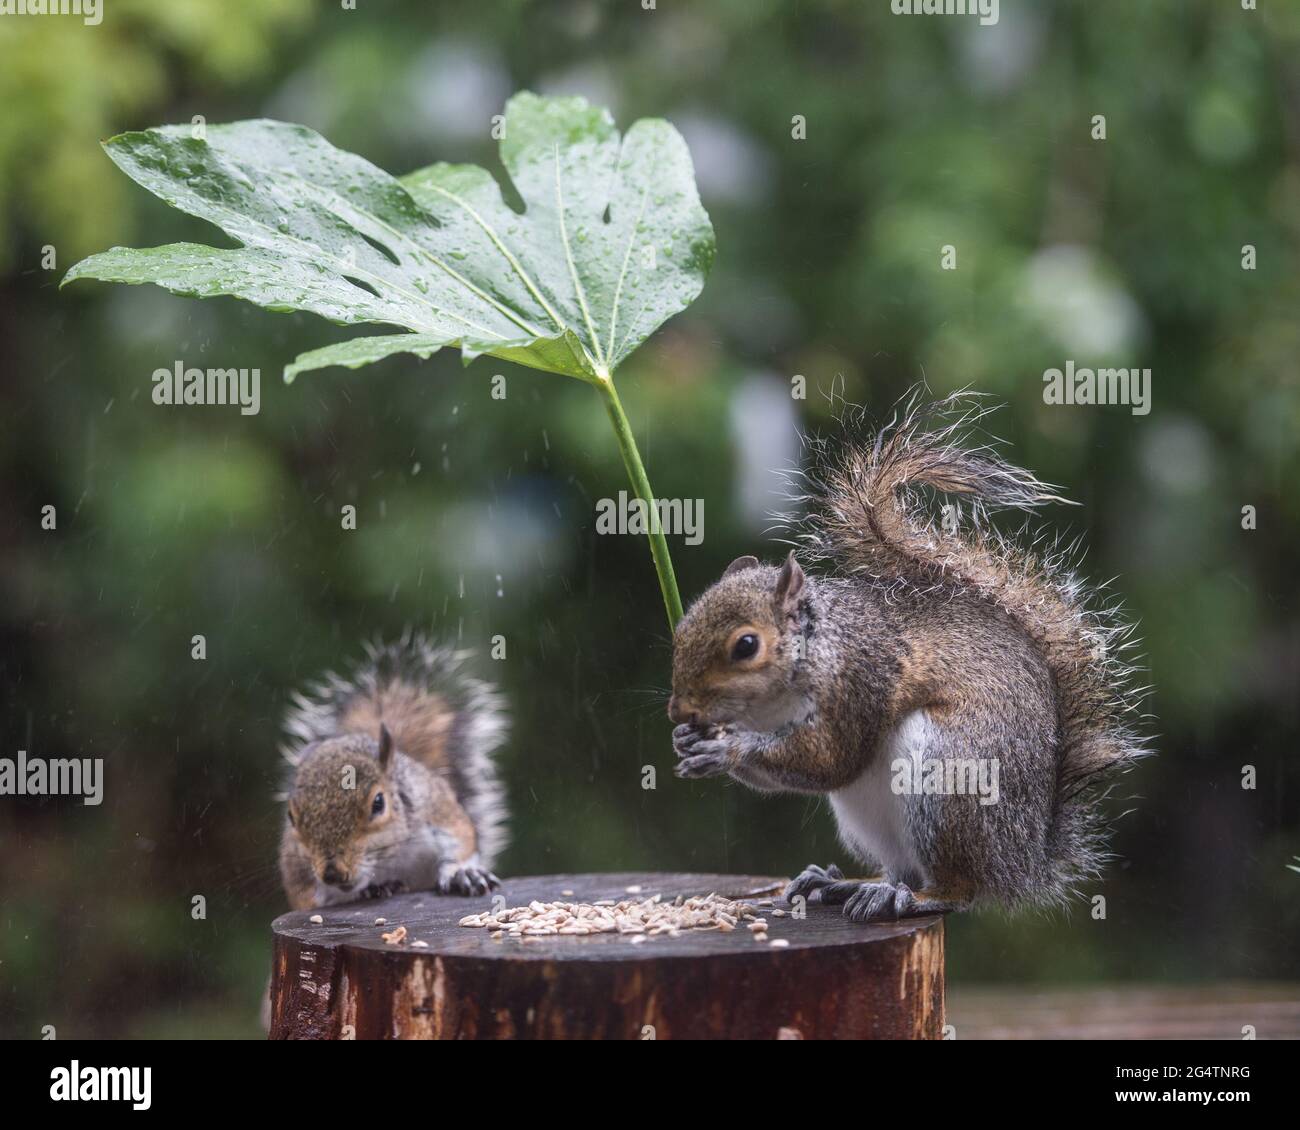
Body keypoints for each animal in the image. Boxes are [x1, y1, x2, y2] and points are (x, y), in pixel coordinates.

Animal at [278, 632, 508, 910]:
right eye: (290, 816)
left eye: (378, 803)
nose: (333, 873)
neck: (388, 856)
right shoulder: (299, 874)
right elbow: (313, 898)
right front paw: (369, 888)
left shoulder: (436, 809)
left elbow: (461, 839)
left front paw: (461, 872)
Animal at [668, 391, 1148, 922]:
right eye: (681, 629)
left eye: (746, 646)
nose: (678, 710)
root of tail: (1024, 863)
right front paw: (688, 741)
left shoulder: (861, 679)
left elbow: (830, 759)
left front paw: (727, 749)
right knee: (903, 868)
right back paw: (851, 885)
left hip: (951, 774)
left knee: (958, 889)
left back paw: (913, 897)